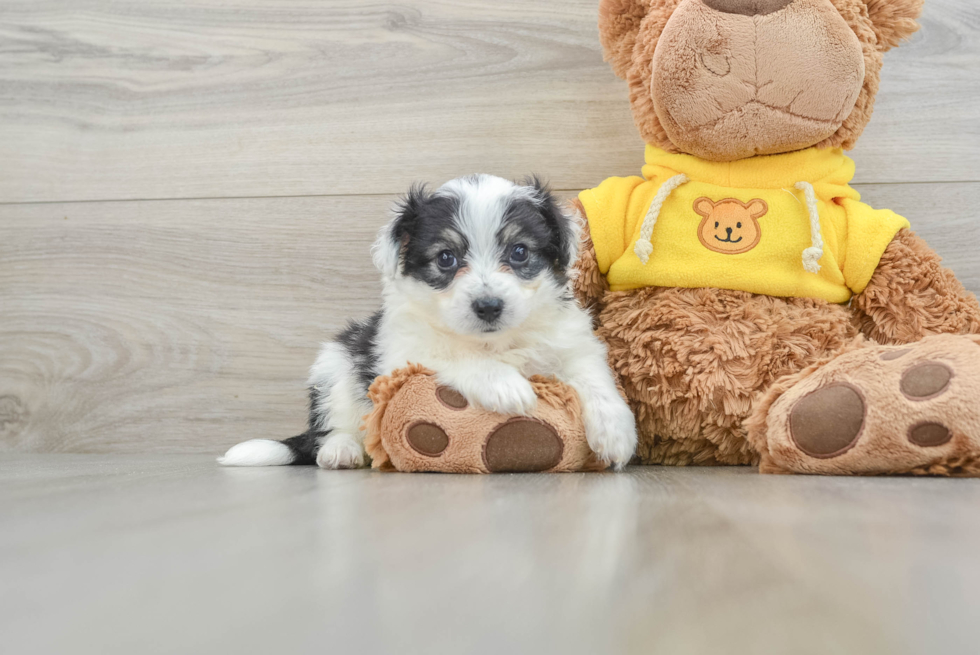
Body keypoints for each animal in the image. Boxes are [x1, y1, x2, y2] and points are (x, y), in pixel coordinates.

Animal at [219, 176, 640, 472]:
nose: (489, 306)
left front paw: (616, 433)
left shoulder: (571, 342)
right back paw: (341, 450)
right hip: (335, 362)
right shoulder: (405, 351)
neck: (495, 341)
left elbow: (593, 377)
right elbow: (460, 357)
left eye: (520, 252)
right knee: (334, 422)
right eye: (446, 258)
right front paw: (506, 386)